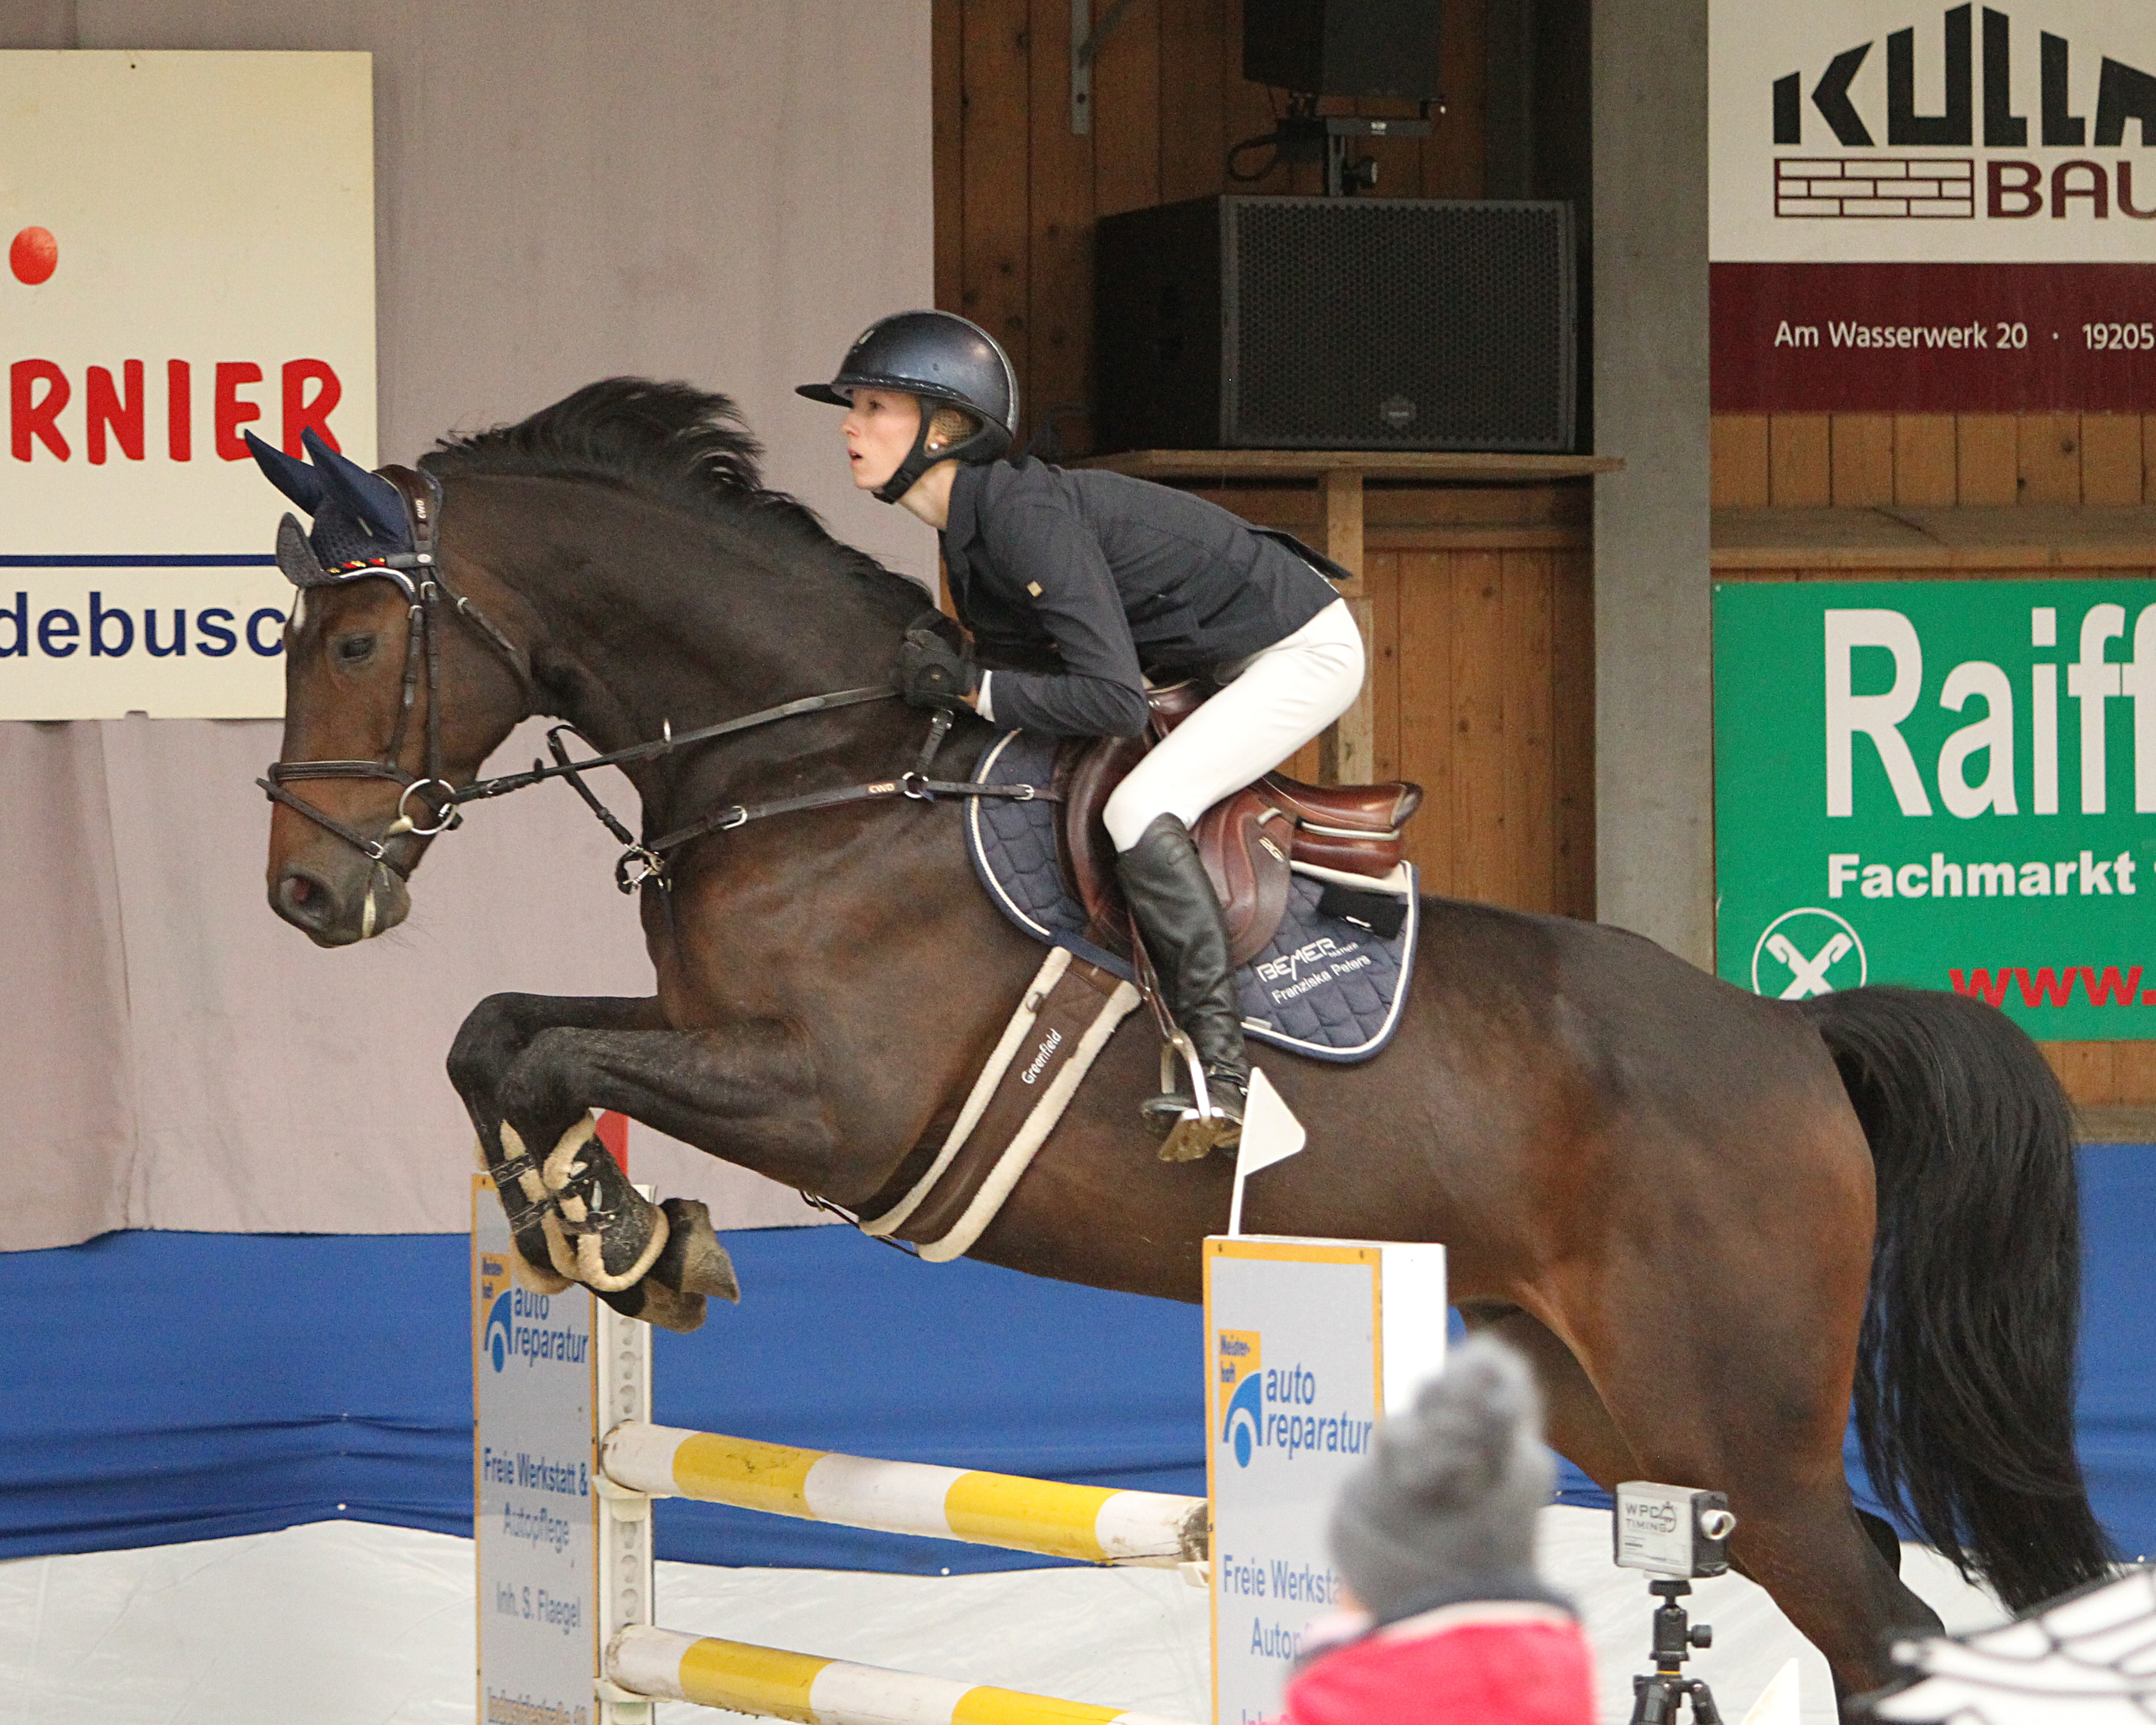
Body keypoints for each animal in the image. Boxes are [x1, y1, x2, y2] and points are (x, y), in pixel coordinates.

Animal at [257, 379, 2109, 1705]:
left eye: (350, 638)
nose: (305, 892)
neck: (814, 767)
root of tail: (1791, 1037)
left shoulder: (831, 1097)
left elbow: (546, 1055)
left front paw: (627, 1232)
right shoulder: (713, 1030)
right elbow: (501, 1034)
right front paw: (607, 1229)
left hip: (1731, 1410)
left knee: (1871, 1613)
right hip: (1612, 1402)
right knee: (1853, 1588)